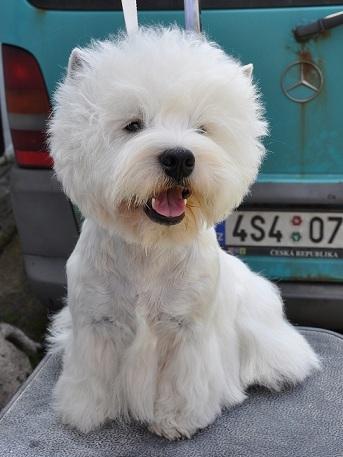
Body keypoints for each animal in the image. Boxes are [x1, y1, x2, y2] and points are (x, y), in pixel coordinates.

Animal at [47, 27, 320, 438]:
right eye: (133, 125)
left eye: (202, 128)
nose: (179, 157)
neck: (148, 246)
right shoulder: (96, 323)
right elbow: (90, 375)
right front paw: (86, 410)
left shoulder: (186, 331)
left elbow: (182, 381)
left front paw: (177, 419)